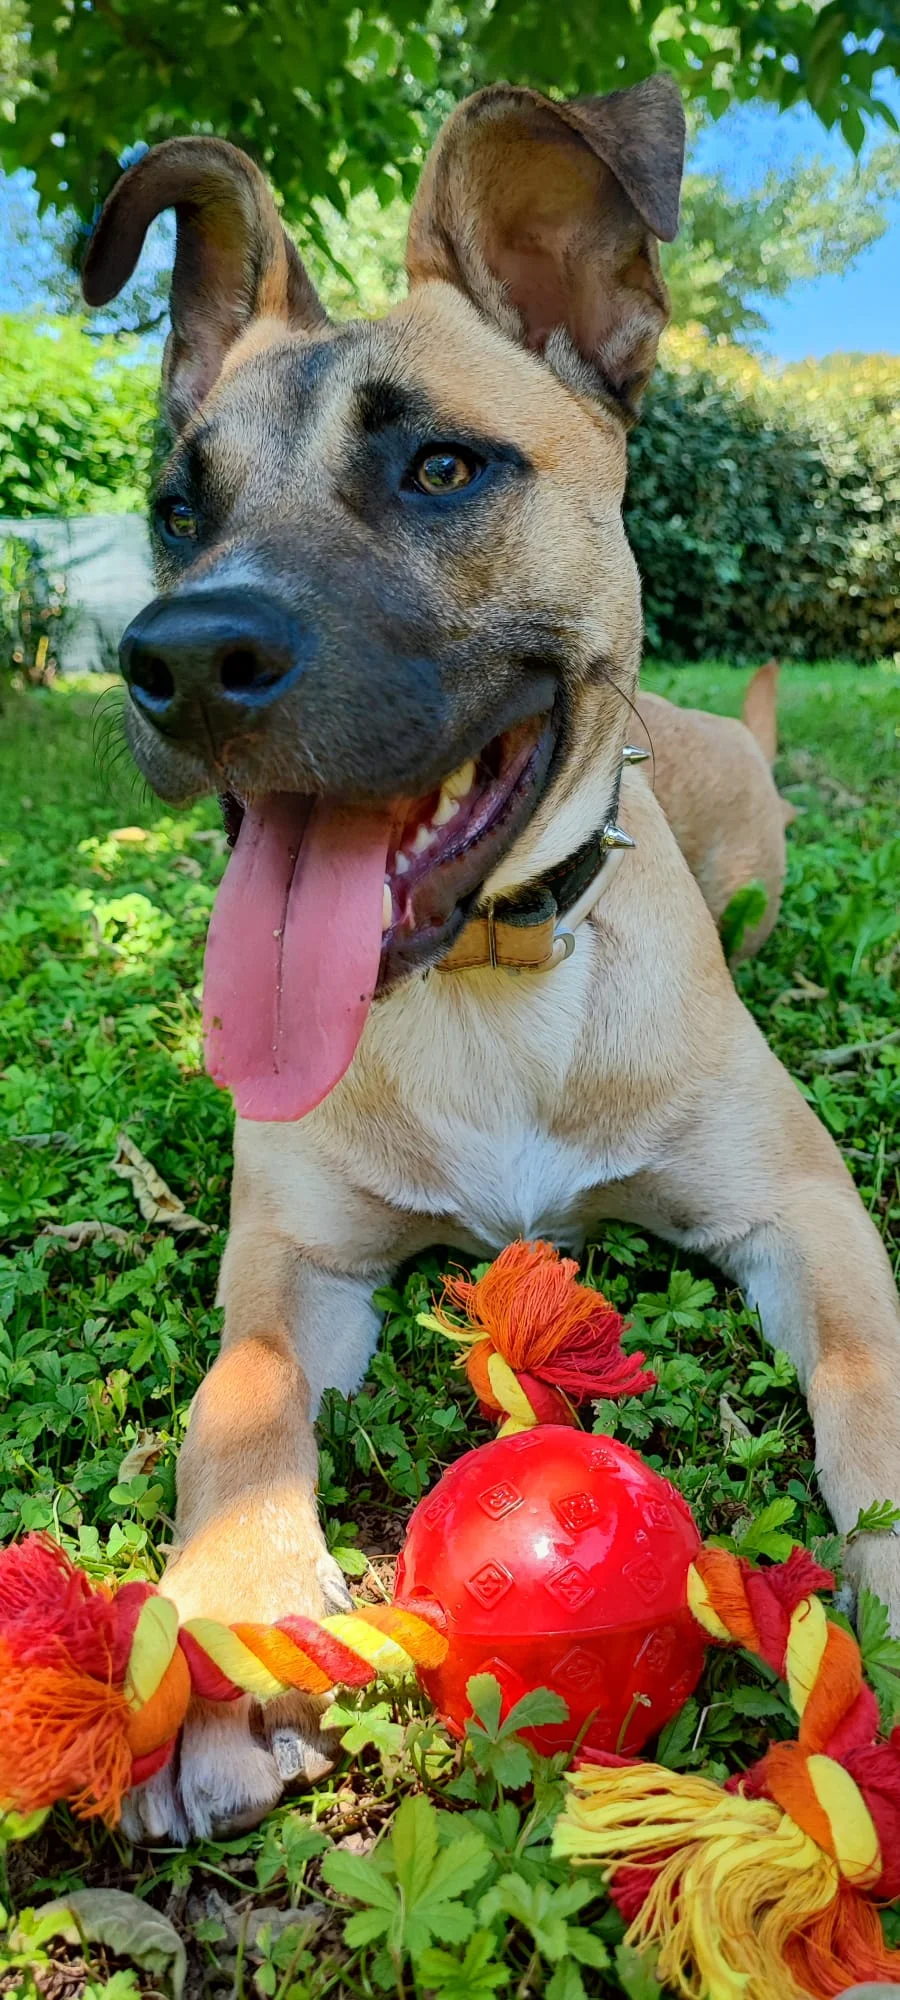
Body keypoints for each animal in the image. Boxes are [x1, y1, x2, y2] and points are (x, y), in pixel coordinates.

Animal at [82, 82, 900, 1840]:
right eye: (180, 510)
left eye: (443, 467)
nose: (185, 660)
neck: (491, 984)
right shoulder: (295, 1260)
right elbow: (234, 1409)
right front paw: (228, 1629)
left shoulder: (801, 1211)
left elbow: (874, 1380)